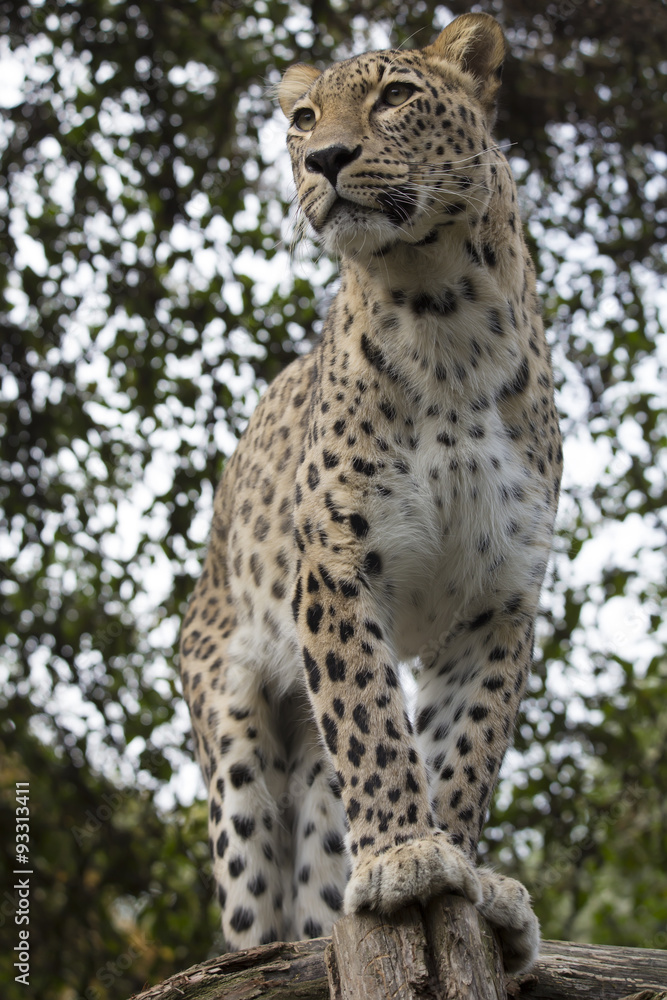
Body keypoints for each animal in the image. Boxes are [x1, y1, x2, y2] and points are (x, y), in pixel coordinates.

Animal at [179, 11, 562, 974]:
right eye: (303, 118)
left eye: (393, 96)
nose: (324, 159)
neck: (443, 314)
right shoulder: (336, 560)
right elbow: (369, 716)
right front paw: (402, 854)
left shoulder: (501, 594)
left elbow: (464, 743)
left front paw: (465, 873)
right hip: (232, 735)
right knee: (252, 903)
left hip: (311, 780)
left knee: (320, 860)